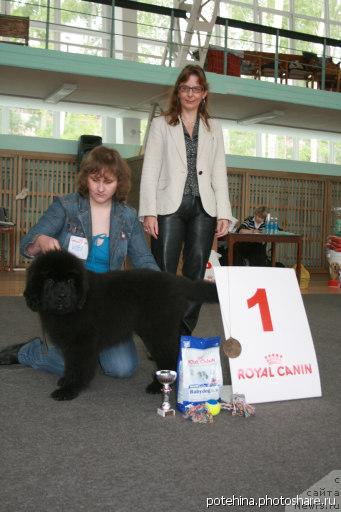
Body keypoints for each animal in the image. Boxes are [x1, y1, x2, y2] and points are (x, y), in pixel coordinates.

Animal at [23, 250, 218, 402]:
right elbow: (70, 364)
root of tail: (176, 281)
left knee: (169, 356)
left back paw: (157, 385)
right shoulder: (70, 343)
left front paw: (69, 390)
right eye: (49, 281)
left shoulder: (83, 343)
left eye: (71, 281)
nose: (62, 296)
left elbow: (79, 367)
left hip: (158, 332)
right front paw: (66, 380)